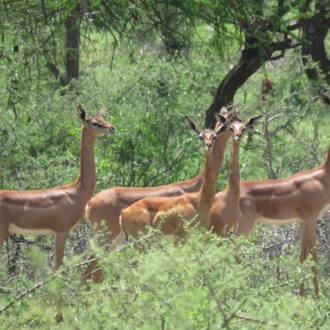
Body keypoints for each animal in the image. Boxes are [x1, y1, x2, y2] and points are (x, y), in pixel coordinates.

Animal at [0, 106, 116, 322]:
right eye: (94, 122)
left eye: (103, 117)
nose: (112, 128)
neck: (76, 190)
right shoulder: (62, 232)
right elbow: (59, 269)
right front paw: (59, 317)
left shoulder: (56, 234)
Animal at [110, 115, 229, 250]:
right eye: (200, 136)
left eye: (214, 136)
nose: (208, 145)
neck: (198, 201)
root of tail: (123, 213)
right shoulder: (179, 238)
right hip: (142, 242)